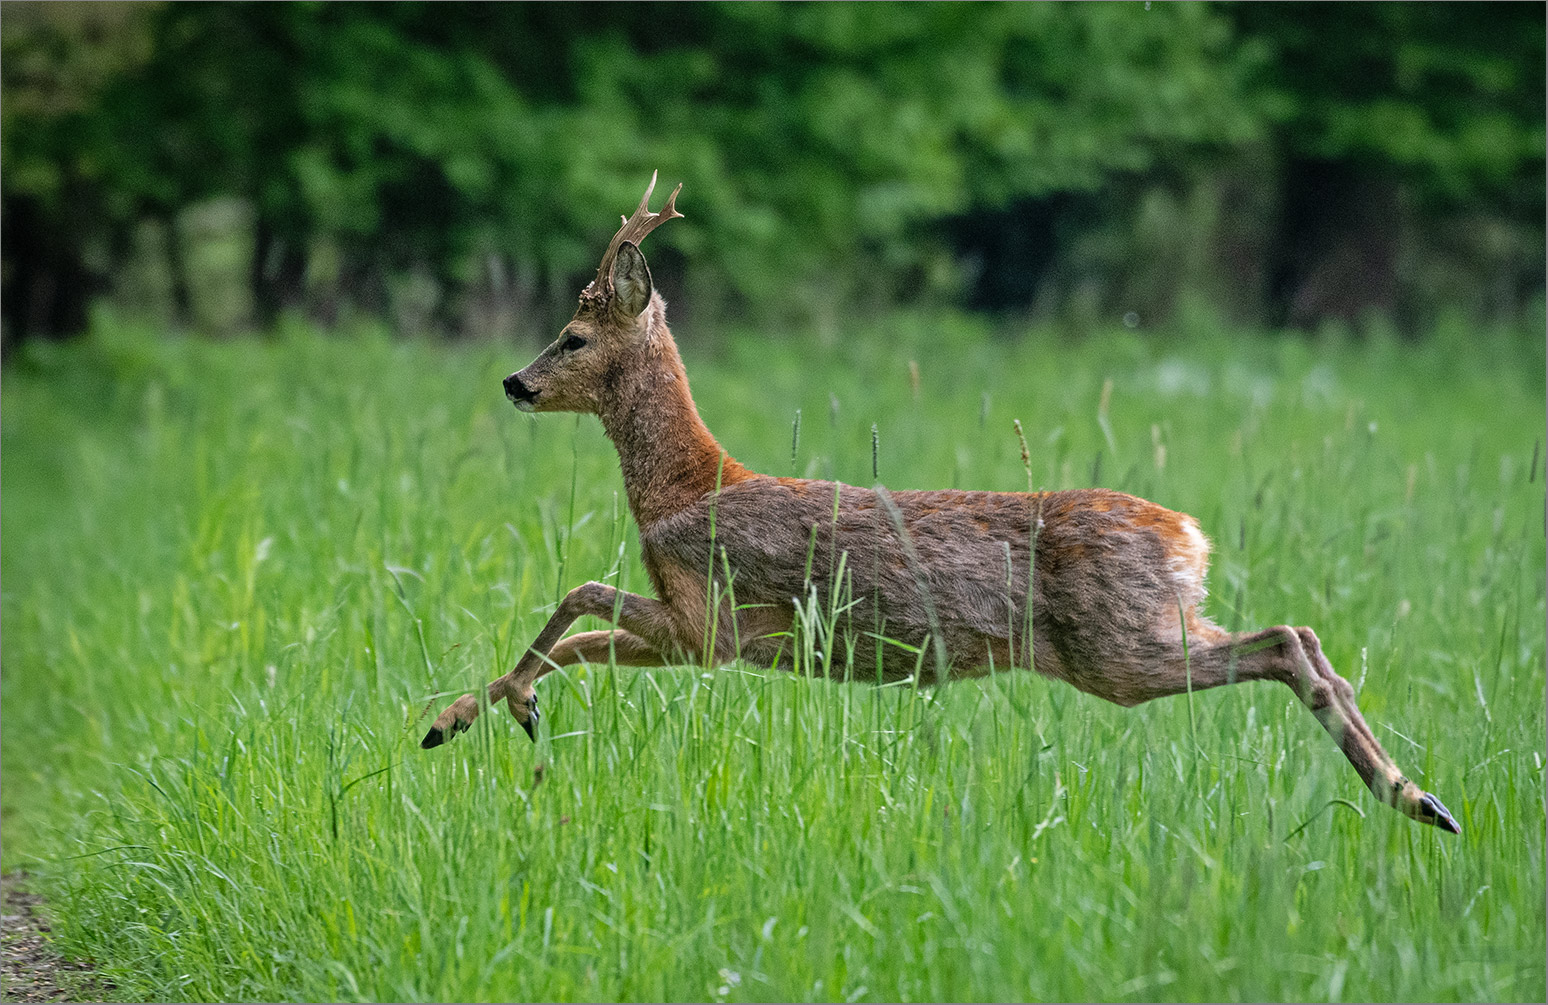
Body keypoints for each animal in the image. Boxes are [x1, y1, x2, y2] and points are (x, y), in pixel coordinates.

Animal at [424, 176, 1461, 836]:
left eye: (572, 335)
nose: (515, 382)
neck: (686, 487)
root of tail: (1189, 536)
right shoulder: (711, 640)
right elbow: (579, 636)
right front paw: (475, 715)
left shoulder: (710, 620)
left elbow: (580, 598)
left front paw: (480, 710)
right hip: (1155, 626)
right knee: (1310, 639)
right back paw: (1424, 798)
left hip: (1120, 646)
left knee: (1286, 641)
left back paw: (1413, 798)